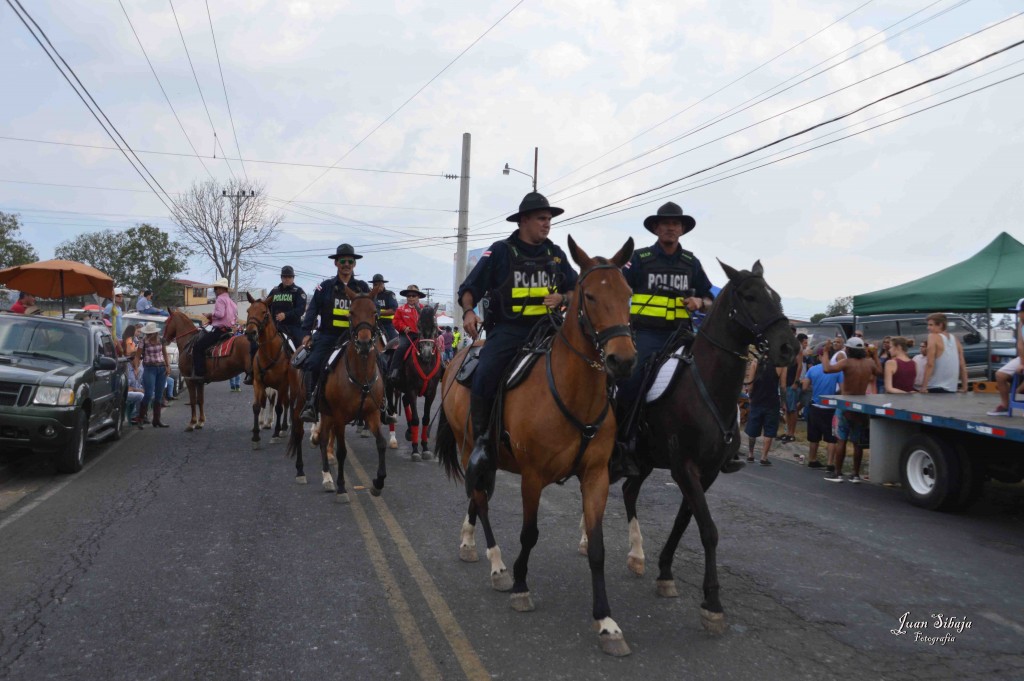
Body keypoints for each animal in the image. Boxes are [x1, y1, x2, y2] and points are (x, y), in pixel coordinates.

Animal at [244, 294, 307, 475]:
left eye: (264, 313)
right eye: (248, 311)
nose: (250, 333)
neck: (269, 352)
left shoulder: (282, 384)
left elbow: (279, 408)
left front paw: (276, 433)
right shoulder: (258, 383)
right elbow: (257, 406)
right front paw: (256, 437)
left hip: (292, 387)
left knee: (288, 405)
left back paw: (284, 428)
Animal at [315, 280, 387, 499]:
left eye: (375, 313)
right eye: (351, 313)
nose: (364, 343)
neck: (361, 375)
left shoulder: (372, 414)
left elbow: (381, 443)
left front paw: (378, 482)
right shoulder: (339, 416)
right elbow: (342, 451)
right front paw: (340, 486)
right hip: (326, 413)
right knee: (323, 440)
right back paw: (327, 478)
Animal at [436, 236, 634, 655]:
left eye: (628, 293)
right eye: (590, 296)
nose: (622, 360)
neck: (574, 393)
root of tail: (460, 353)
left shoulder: (595, 477)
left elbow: (597, 548)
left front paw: (606, 623)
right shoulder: (533, 476)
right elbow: (530, 533)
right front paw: (521, 586)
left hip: (489, 459)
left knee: (477, 493)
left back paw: (468, 541)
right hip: (469, 446)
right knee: (480, 498)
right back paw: (496, 564)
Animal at [598, 261, 798, 639]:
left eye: (777, 296)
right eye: (749, 296)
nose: (789, 348)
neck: (708, 387)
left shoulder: (706, 473)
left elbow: (684, 521)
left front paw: (665, 573)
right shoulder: (684, 468)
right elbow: (708, 530)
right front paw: (713, 604)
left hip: (645, 460)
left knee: (630, 491)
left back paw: (637, 555)